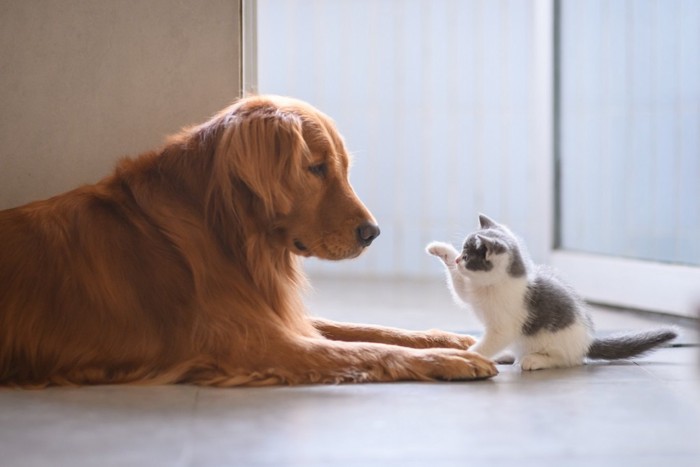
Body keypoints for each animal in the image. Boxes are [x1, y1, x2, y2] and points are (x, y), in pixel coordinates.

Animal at [0, 95, 498, 388]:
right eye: (316, 168)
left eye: (342, 168)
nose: (372, 233)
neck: (227, 234)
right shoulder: (255, 343)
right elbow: (371, 348)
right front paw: (448, 360)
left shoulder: (275, 314)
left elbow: (373, 330)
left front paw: (450, 340)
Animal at [426, 214, 680, 372]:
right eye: (461, 252)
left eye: (468, 256)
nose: (459, 260)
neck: (492, 286)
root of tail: (588, 340)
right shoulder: (471, 292)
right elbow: (459, 287)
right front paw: (439, 249)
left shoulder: (504, 327)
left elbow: (489, 343)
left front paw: (469, 355)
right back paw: (506, 355)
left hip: (557, 341)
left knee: (568, 361)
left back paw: (534, 360)